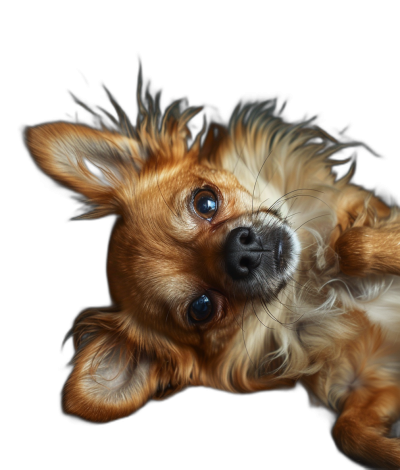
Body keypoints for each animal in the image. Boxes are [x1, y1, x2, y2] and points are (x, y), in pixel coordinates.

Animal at [25, 90, 400, 468]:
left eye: (204, 201)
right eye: (201, 308)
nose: (242, 253)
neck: (311, 284)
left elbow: (350, 243)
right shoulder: (367, 382)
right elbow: (347, 432)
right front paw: (392, 452)